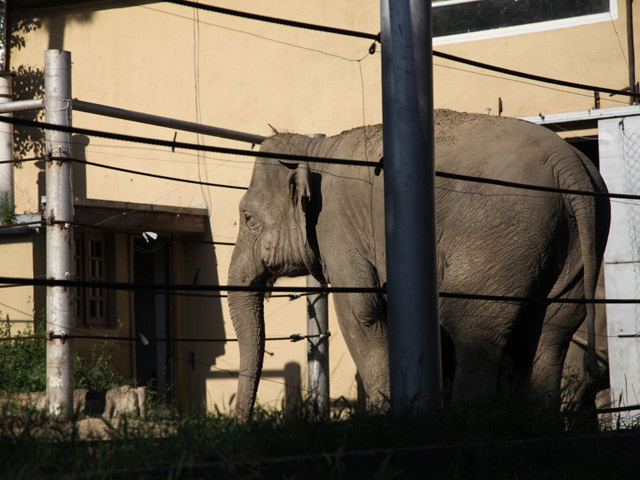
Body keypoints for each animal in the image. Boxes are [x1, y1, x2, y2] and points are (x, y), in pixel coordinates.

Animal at [226, 109, 608, 420]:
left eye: (247, 218)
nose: (244, 422)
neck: (315, 150)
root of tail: (570, 166)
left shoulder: (337, 226)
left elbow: (361, 312)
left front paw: (386, 418)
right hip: (572, 249)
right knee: (548, 334)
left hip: (501, 239)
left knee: (470, 326)